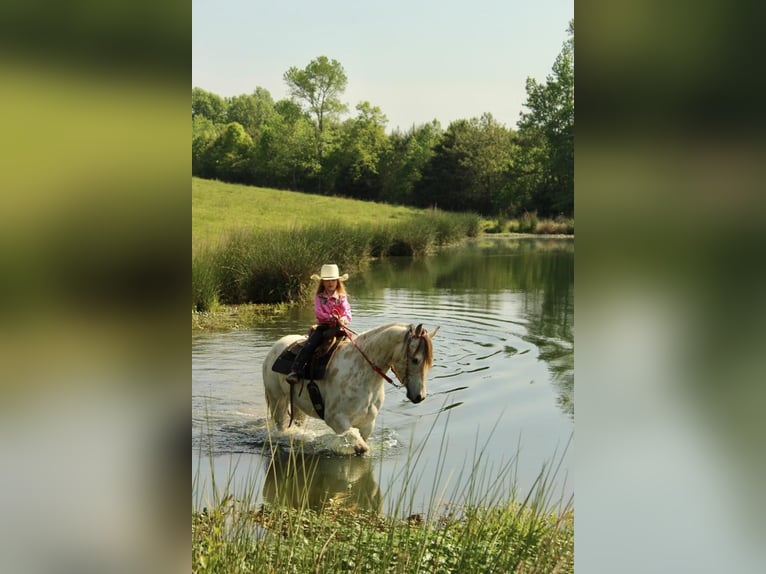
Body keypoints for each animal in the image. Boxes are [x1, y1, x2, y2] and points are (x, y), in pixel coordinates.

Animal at [264, 324, 436, 454]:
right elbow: (360, 446)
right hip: (278, 401)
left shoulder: (367, 423)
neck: (361, 371)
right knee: (281, 425)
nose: (420, 396)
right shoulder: (336, 420)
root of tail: (276, 347)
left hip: (299, 407)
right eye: (415, 360)